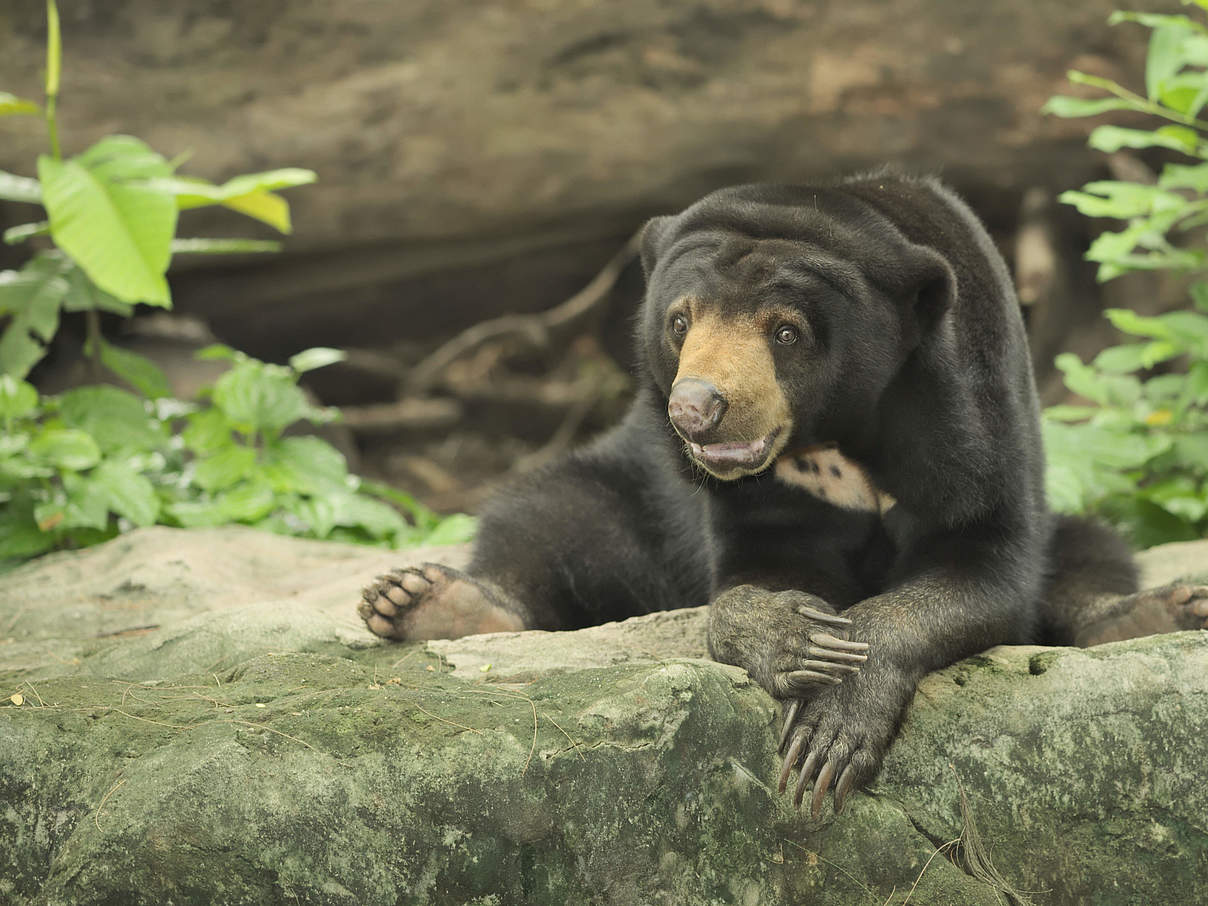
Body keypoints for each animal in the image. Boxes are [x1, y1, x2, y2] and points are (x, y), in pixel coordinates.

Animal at [357, 170, 1208, 816]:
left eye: (786, 331)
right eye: (680, 321)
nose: (697, 408)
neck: (833, 436)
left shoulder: (970, 414)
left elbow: (983, 565)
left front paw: (832, 728)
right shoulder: (748, 497)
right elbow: (750, 574)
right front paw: (795, 636)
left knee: (1091, 547)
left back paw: (1162, 610)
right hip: (631, 490)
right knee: (549, 516)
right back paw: (421, 601)